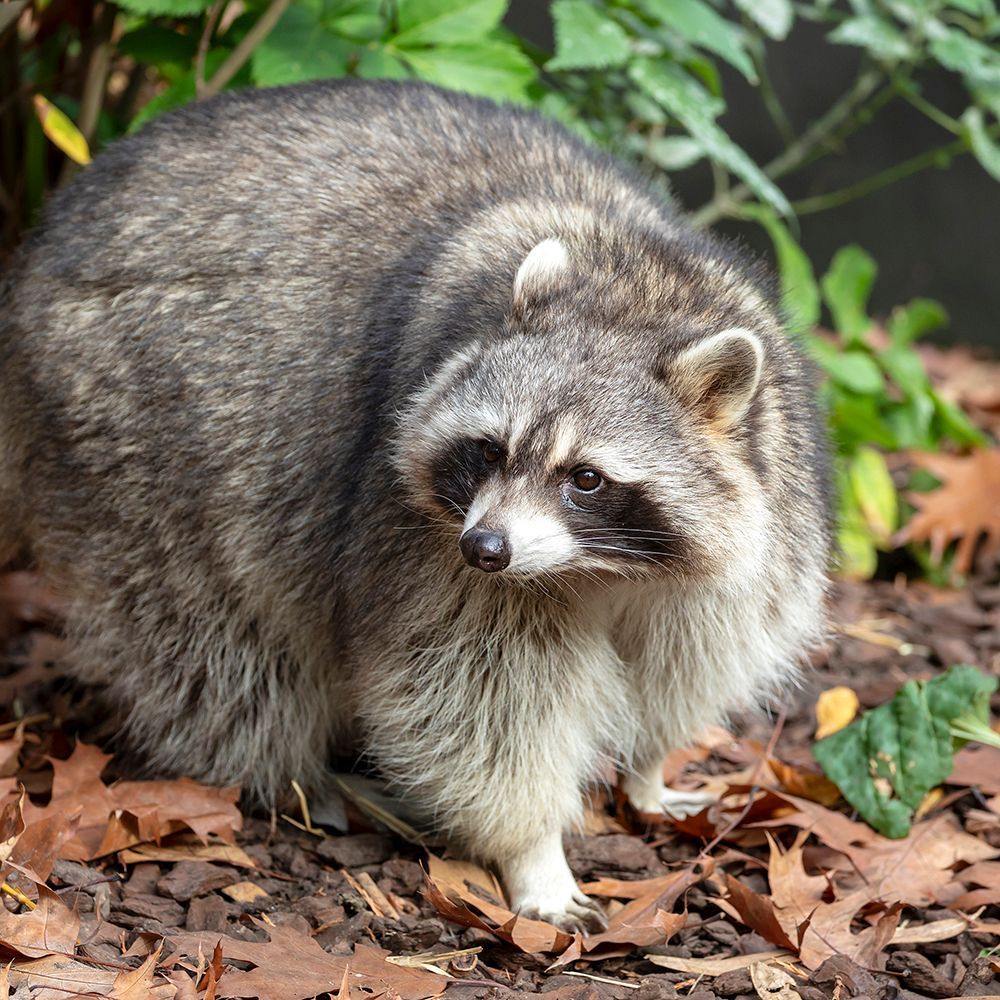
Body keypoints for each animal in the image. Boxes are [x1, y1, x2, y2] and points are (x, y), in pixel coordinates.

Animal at [0, 80, 830, 929]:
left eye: (586, 479)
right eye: (491, 451)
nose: (485, 548)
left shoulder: (762, 515)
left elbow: (685, 658)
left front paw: (649, 769)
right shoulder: (415, 536)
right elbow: (478, 698)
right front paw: (534, 851)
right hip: (127, 424)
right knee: (213, 639)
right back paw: (290, 773)